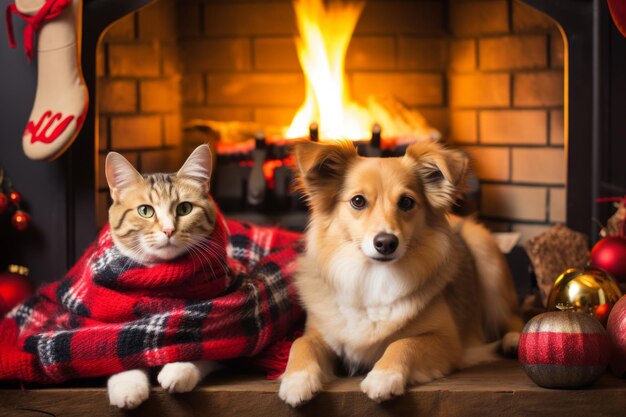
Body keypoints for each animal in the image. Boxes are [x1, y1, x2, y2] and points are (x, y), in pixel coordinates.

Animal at [103, 145, 218, 408]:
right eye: (145, 210)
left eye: (184, 208)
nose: (168, 230)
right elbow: (119, 352)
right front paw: (128, 386)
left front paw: (178, 369)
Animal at [278, 138, 520, 404]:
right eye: (358, 201)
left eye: (406, 202)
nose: (386, 242)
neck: (374, 276)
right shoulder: (318, 333)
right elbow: (300, 343)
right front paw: (296, 380)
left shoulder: (449, 342)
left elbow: (404, 343)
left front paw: (384, 376)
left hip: (486, 255)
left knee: (512, 316)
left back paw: (514, 339)